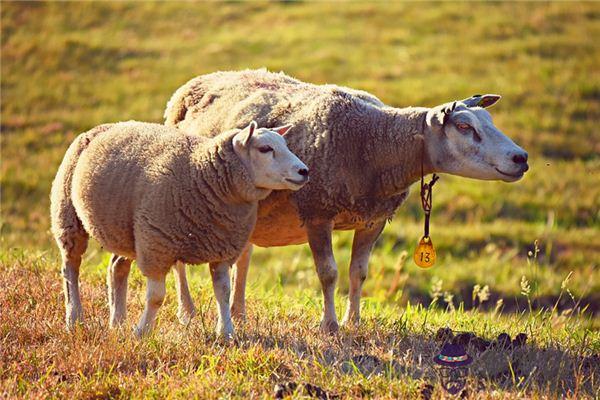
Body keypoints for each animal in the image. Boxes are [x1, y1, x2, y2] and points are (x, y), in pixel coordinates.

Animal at [50, 120, 310, 336]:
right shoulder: (157, 245)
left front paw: (226, 333)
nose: (304, 171)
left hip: (126, 231)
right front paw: (142, 333)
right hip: (68, 216)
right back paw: (74, 319)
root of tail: (101, 127)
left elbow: (223, 292)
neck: (202, 172)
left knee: (116, 268)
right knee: (70, 268)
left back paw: (118, 323)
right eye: (265, 149)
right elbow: (156, 297)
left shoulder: (222, 248)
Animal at [162, 69, 528, 334]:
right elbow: (328, 274)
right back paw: (187, 312)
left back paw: (238, 312)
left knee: (244, 256)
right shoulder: (317, 211)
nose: (521, 158)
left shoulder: (373, 219)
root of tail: (198, 80)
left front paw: (354, 321)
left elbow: (358, 273)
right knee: (180, 261)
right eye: (464, 126)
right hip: (182, 196)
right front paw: (330, 325)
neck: (374, 143)